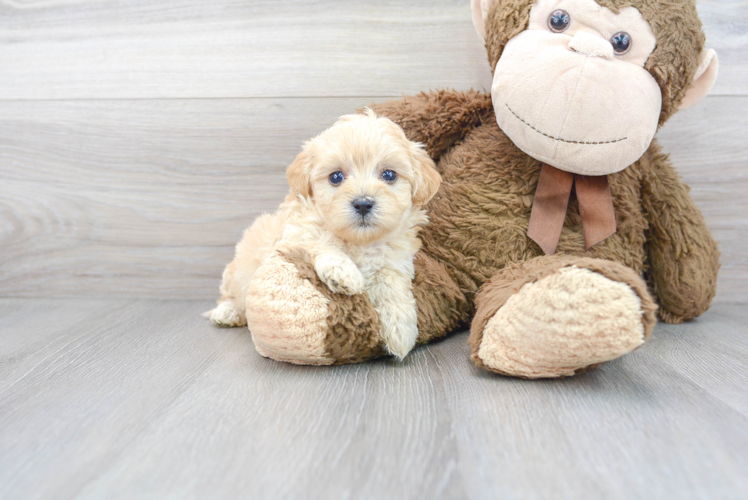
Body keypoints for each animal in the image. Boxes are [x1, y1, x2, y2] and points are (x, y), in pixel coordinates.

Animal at [205, 109, 442, 360]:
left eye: (389, 175)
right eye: (336, 177)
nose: (363, 203)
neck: (358, 241)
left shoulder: (395, 260)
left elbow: (390, 281)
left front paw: (400, 330)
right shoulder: (293, 235)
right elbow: (319, 242)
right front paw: (344, 273)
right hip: (236, 271)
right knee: (230, 296)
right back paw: (226, 312)